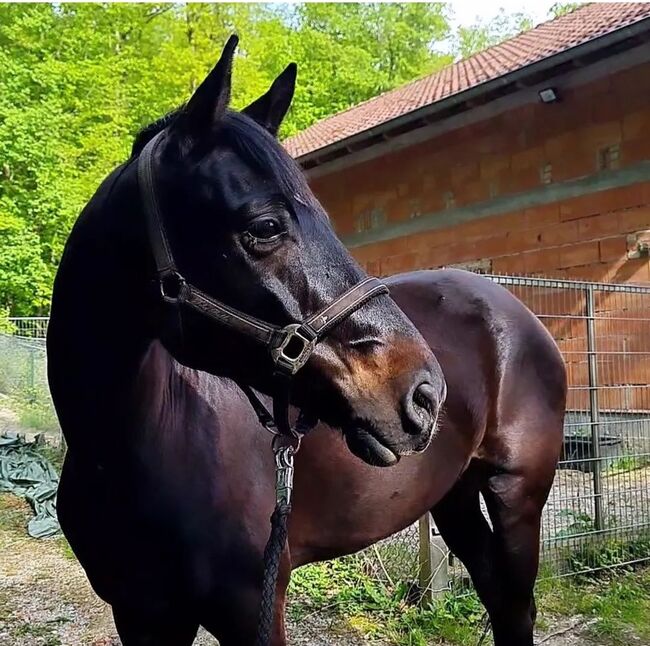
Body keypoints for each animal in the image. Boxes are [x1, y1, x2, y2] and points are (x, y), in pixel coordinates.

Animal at [46, 39, 560, 646]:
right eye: (266, 226)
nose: (425, 393)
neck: (125, 453)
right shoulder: (141, 615)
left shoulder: (253, 609)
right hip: (454, 495)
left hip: (516, 497)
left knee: (517, 605)